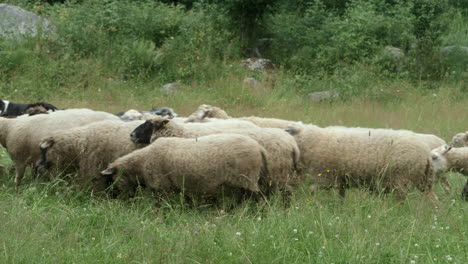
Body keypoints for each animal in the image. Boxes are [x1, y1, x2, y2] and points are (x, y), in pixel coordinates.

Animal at [286, 125, 438, 207]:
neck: (312, 140)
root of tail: (426, 153)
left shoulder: (325, 177)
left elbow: (312, 191)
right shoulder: (340, 180)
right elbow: (341, 197)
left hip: (401, 179)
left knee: (400, 201)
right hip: (423, 180)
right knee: (433, 198)